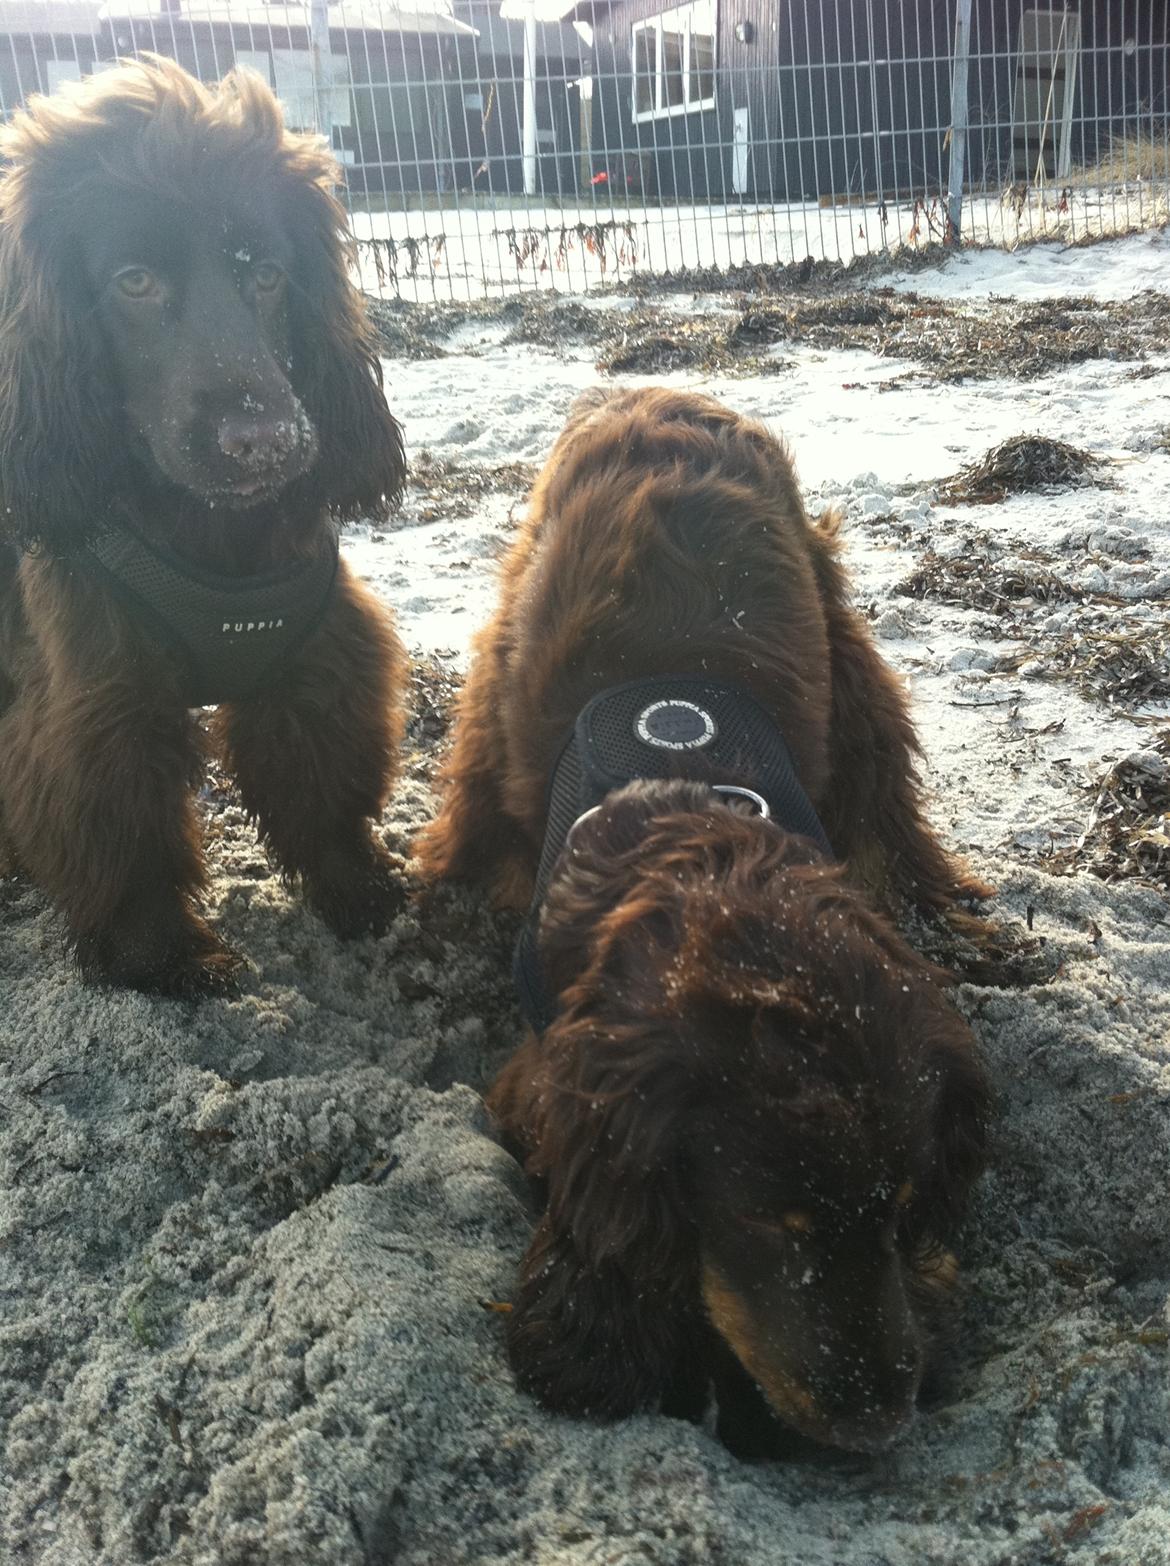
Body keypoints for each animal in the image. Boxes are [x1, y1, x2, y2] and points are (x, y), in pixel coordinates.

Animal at [0, 64, 410, 989]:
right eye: (134, 281)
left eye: (267, 275)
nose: (267, 441)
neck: (214, 537)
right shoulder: (102, 697)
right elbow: (124, 833)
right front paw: (162, 957)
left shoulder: (316, 655)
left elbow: (323, 782)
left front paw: (359, 891)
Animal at [416, 388, 996, 1453]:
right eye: (769, 1224)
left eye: (901, 1207)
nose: (881, 1425)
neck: (704, 847)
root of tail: (662, 392)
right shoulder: (543, 1076)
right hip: (502, 669)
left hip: (845, 648)